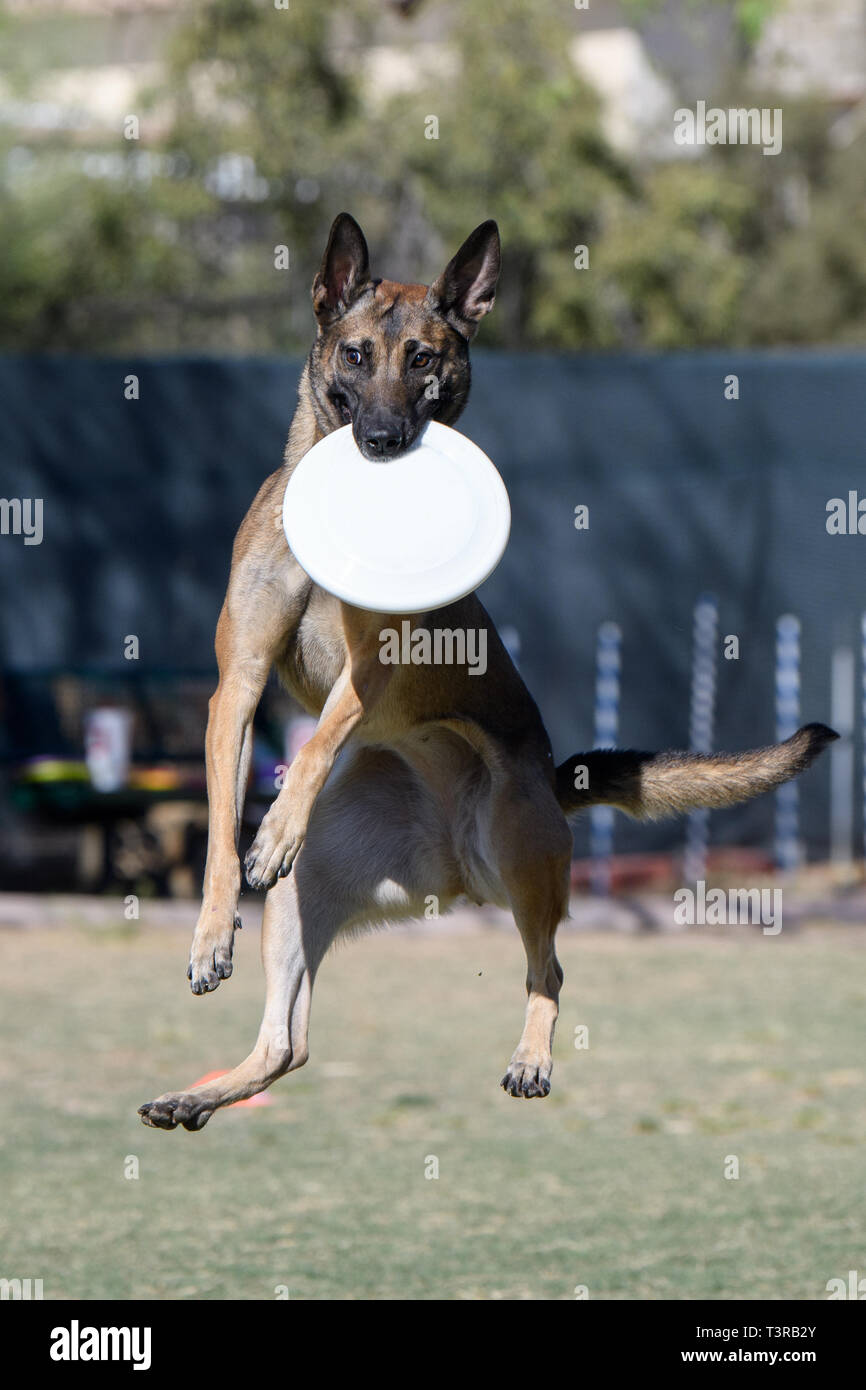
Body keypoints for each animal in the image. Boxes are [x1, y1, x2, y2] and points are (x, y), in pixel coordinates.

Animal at [139, 214, 839, 1128]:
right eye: (356, 355)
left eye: (423, 360)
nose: (382, 441)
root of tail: (458, 869)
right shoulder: (240, 682)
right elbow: (226, 823)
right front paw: (213, 927)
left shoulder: (375, 669)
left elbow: (324, 734)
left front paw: (279, 822)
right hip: (312, 889)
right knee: (288, 1043)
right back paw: (195, 1096)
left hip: (515, 832)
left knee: (549, 965)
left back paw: (532, 1058)